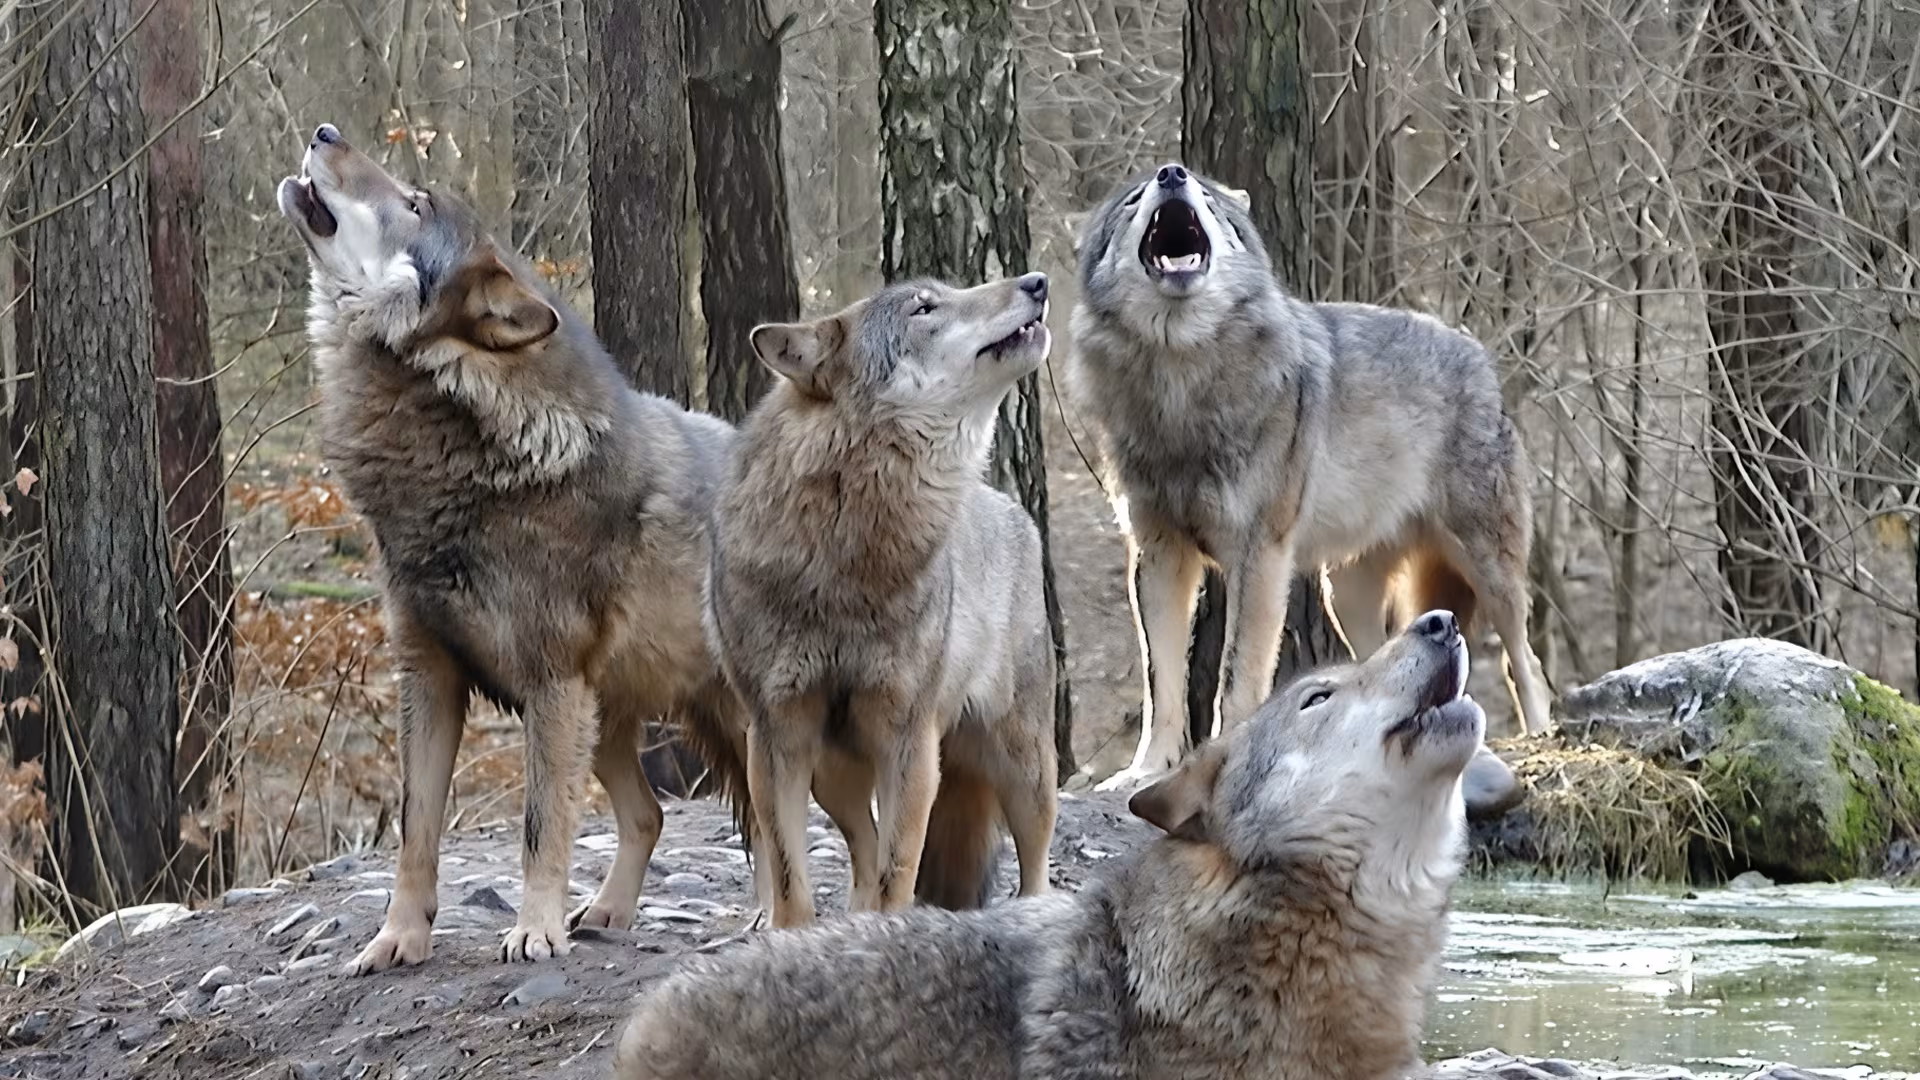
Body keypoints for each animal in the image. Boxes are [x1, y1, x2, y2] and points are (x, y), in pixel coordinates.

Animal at [276, 123, 758, 973]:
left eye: (414, 203)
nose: (326, 131)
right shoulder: (430, 678)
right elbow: (416, 832)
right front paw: (399, 939)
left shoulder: (548, 681)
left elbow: (539, 829)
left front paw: (535, 930)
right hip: (604, 723)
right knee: (649, 816)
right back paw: (606, 914)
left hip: (709, 720)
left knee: (783, 821)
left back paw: (774, 914)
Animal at [704, 274, 1060, 928]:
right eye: (925, 307)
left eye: (947, 292)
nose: (1037, 281)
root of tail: (1010, 507)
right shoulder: (775, 736)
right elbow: (791, 880)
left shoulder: (909, 741)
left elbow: (901, 874)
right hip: (833, 773)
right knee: (862, 849)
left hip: (1022, 764)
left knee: (1035, 862)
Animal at [1070, 162, 1551, 789]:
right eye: (1132, 200)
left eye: (1208, 197)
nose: (1172, 173)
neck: (1181, 378)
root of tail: (1478, 353)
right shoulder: (1158, 554)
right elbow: (1161, 683)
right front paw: (1144, 771)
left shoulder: (1260, 555)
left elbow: (1235, 676)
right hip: (1342, 596)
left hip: (1489, 570)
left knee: (1527, 662)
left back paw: (1541, 732)